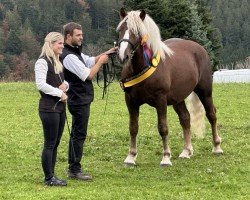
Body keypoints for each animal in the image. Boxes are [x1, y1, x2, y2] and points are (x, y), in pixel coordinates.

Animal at [115, 8, 223, 166]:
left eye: (138, 32)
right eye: (121, 29)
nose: (124, 56)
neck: (144, 65)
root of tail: (199, 48)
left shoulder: (160, 99)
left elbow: (163, 127)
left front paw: (166, 157)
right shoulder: (130, 101)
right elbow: (133, 128)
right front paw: (131, 156)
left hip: (205, 91)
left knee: (211, 114)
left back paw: (217, 147)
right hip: (178, 98)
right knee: (185, 118)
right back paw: (186, 151)